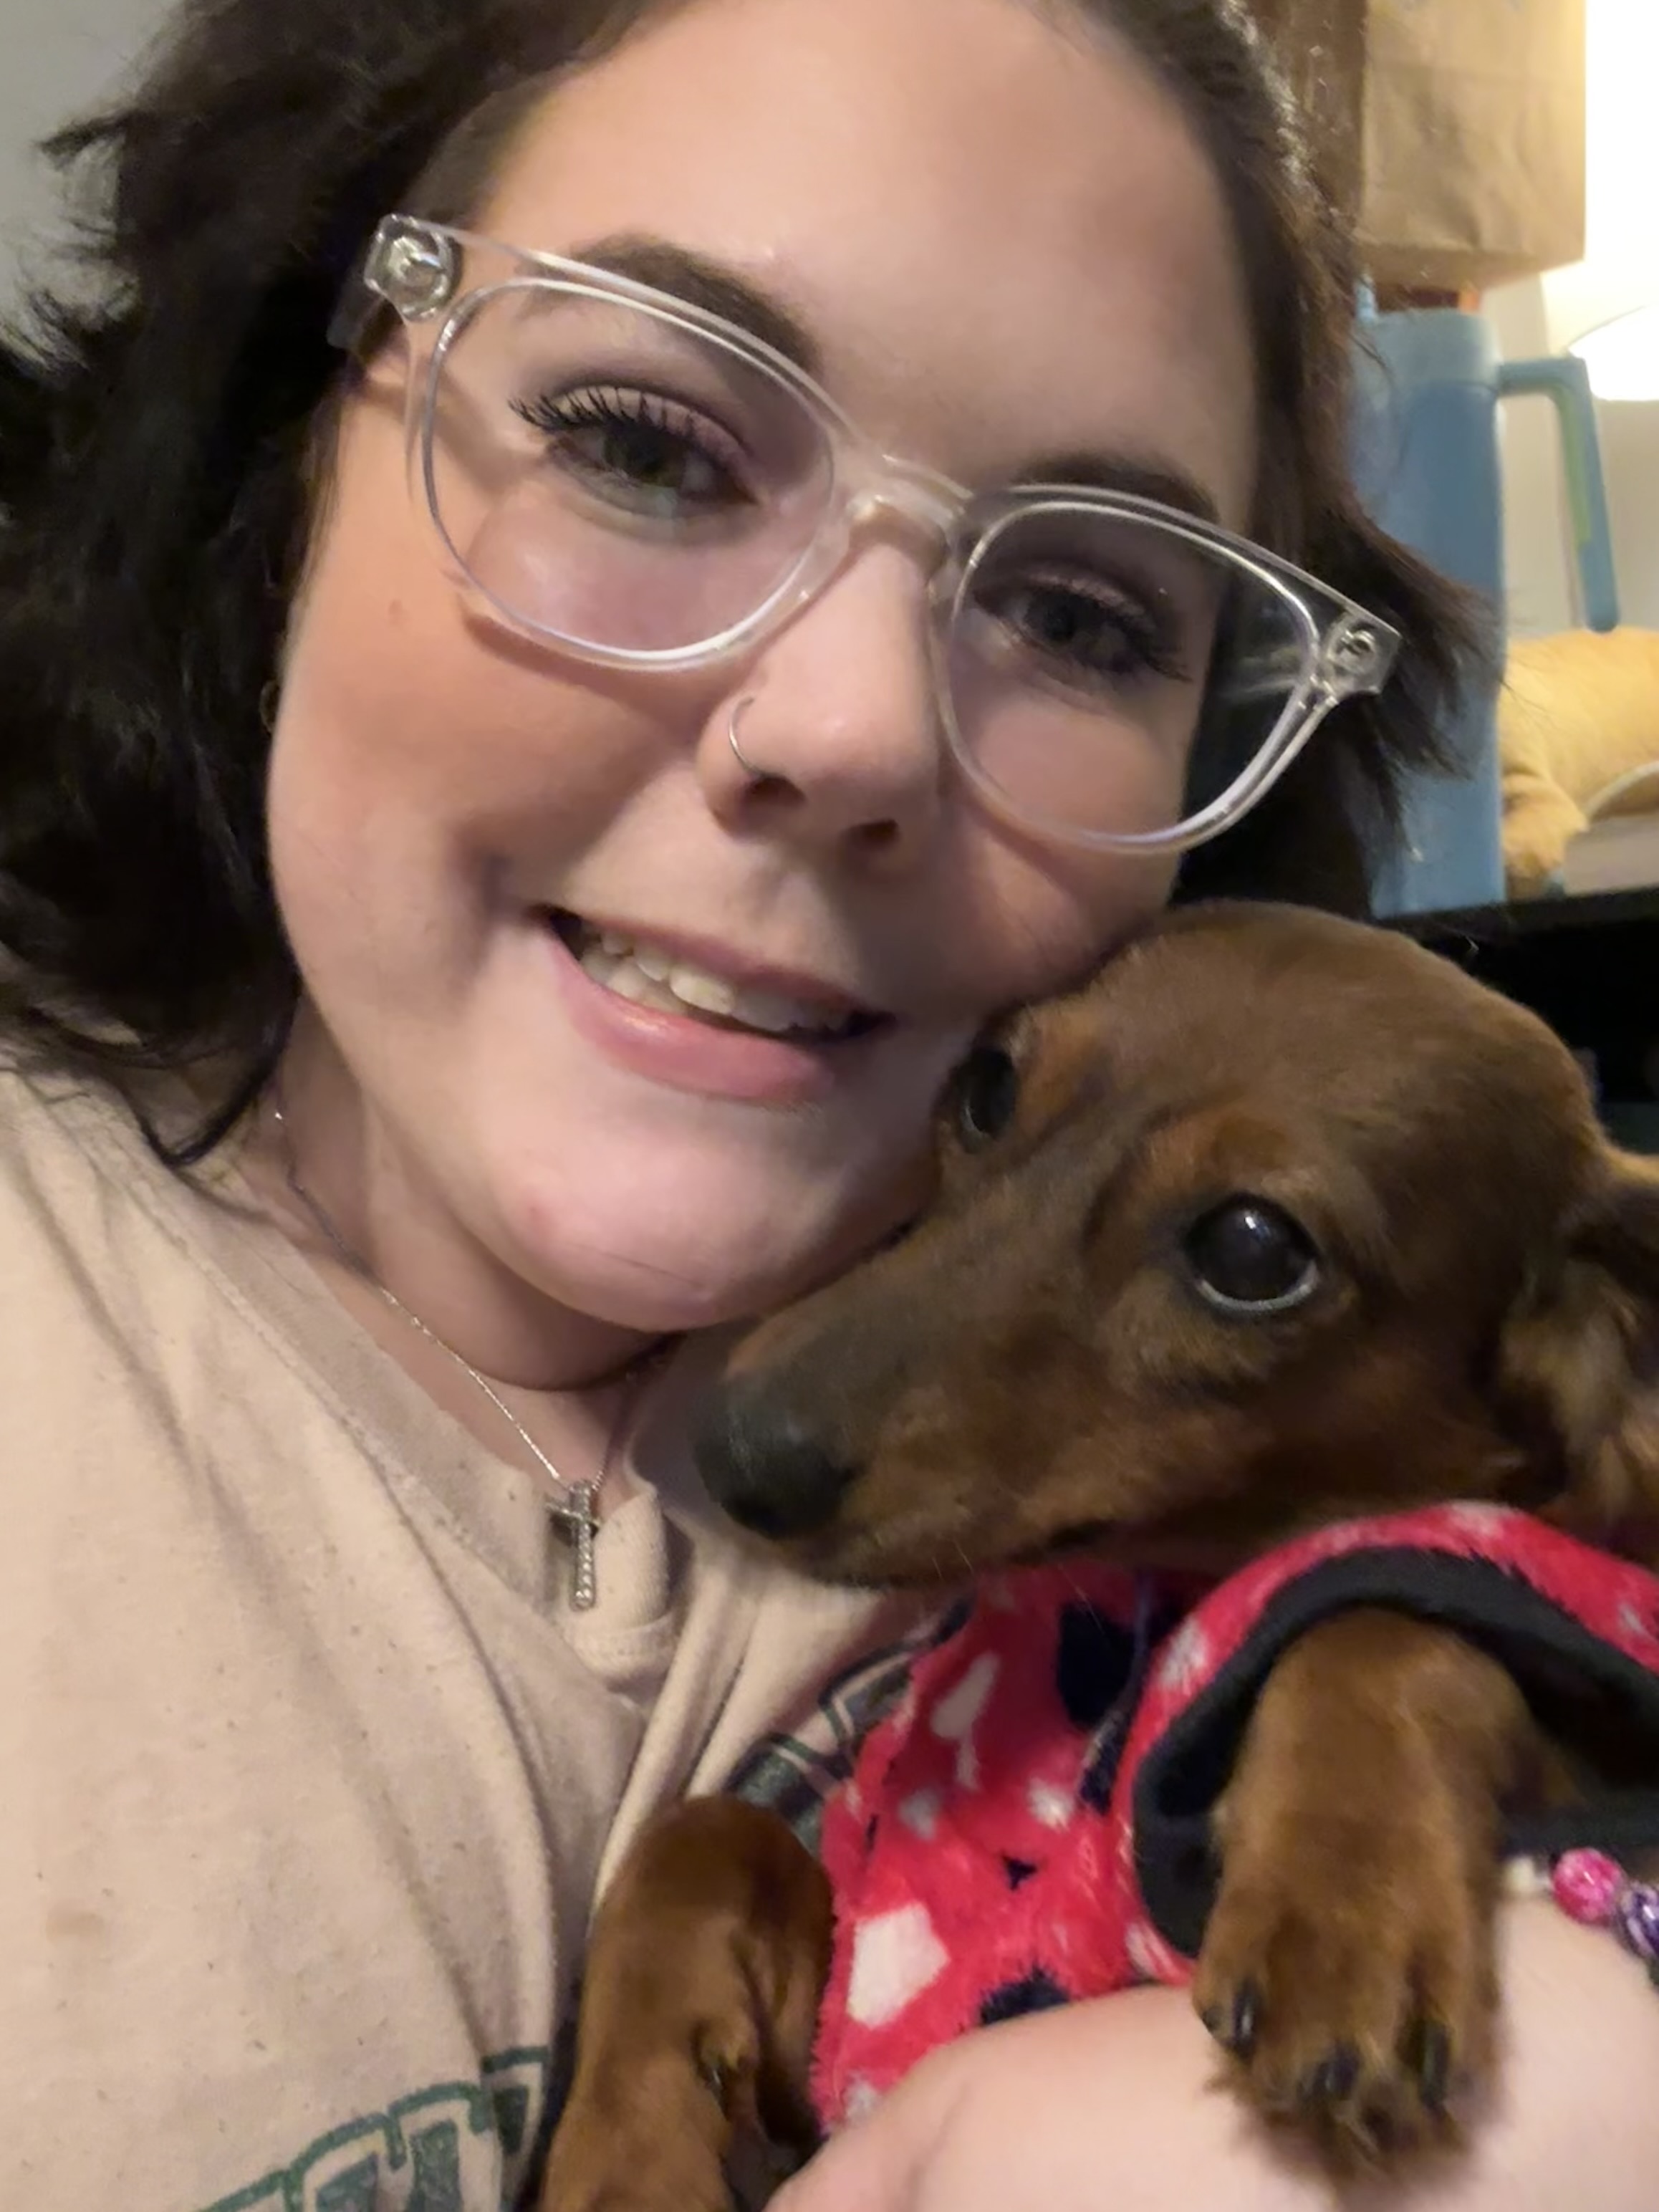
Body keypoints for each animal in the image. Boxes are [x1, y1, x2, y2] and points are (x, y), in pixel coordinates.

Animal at [541, 900, 1659, 2208]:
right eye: (986, 1087)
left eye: (1252, 1247)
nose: (731, 1450)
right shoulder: (841, 2024)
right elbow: (709, 1832)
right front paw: (627, 2135)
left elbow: (1376, 1618)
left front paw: (1346, 1906)